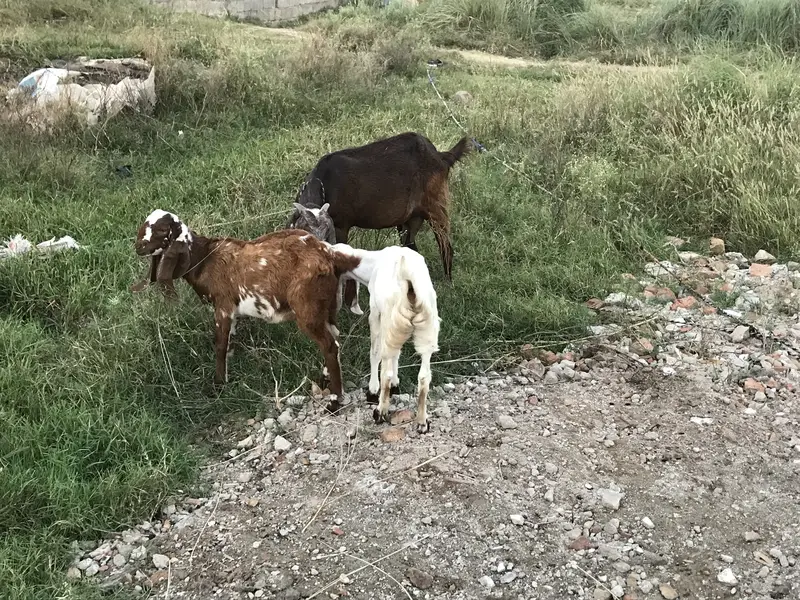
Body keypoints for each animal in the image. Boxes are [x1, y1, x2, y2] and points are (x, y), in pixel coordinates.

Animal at [132, 209, 360, 413]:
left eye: (162, 229)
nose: (138, 247)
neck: (205, 258)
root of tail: (328, 255)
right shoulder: (232, 312)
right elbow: (229, 341)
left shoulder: (223, 306)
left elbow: (219, 345)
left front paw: (218, 385)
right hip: (328, 306)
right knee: (335, 338)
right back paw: (325, 381)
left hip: (307, 309)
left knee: (329, 345)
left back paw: (334, 403)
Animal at [286, 132, 472, 312]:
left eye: (325, 234)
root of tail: (441, 156)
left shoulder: (341, 225)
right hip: (411, 218)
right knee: (411, 247)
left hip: (436, 203)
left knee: (445, 245)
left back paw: (447, 284)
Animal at [329, 242, 441, 434]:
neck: (372, 263)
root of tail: (410, 285)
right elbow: (398, 354)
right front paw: (397, 383)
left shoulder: (376, 314)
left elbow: (374, 353)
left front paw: (373, 389)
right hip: (427, 329)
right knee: (424, 377)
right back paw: (422, 422)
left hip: (391, 320)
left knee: (385, 371)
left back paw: (380, 411)